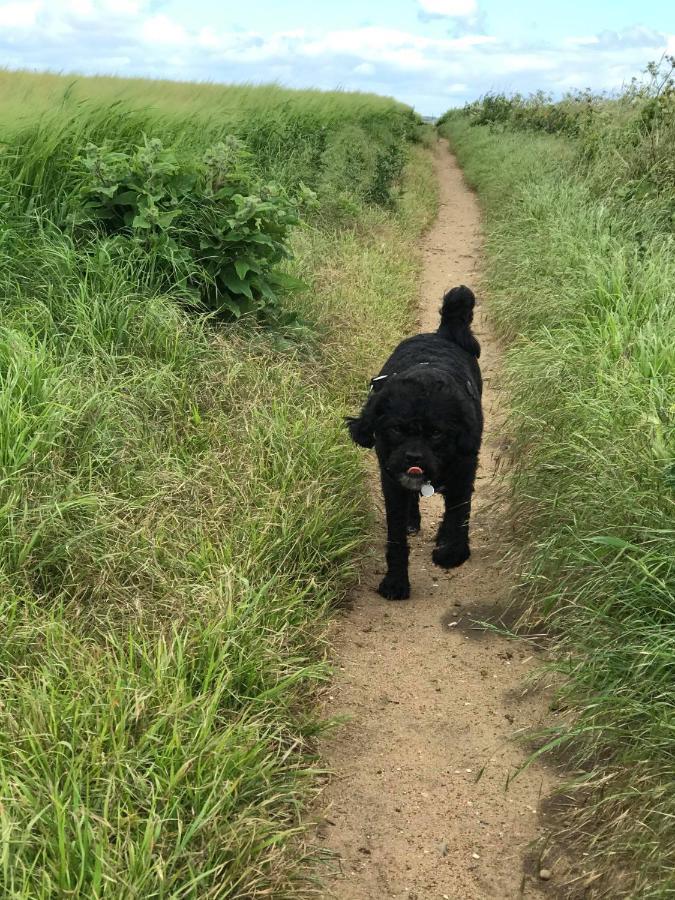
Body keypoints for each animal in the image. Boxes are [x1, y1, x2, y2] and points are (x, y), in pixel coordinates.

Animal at [346, 284, 484, 600]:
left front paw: (452, 551)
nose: (413, 458)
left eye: (436, 433)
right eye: (396, 429)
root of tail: (442, 334)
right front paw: (396, 581)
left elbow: (459, 512)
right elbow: (396, 538)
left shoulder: (464, 472)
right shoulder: (391, 482)